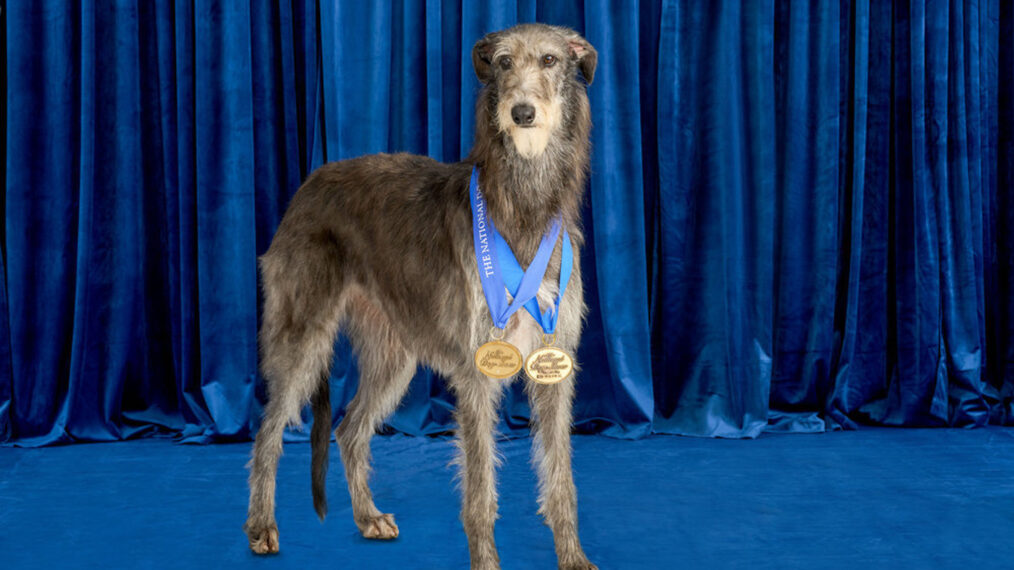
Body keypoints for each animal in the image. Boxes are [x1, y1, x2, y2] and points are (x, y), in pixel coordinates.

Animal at [242, 23, 596, 567]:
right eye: (503, 63)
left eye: (552, 60)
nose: (521, 113)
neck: (523, 206)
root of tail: (309, 183)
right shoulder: (477, 369)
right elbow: (480, 488)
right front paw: (486, 562)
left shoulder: (553, 363)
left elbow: (562, 478)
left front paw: (573, 556)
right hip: (302, 334)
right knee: (269, 430)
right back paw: (262, 526)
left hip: (394, 353)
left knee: (349, 428)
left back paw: (367, 517)